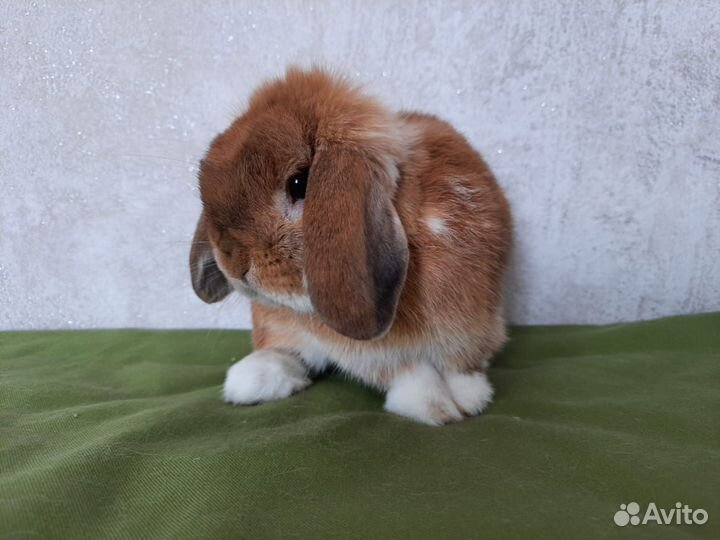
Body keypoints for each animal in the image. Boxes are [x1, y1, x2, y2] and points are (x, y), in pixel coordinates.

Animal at [189, 67, 512, 425]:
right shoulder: (370, 353)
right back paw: (250, 380)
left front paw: (461, 402)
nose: (232, 262)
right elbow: (408, 372)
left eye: (300, 184)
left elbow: (458, 367)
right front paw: (432, 405)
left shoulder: (470, 327)